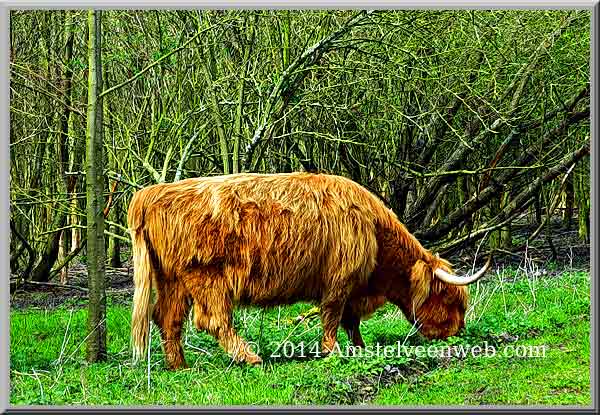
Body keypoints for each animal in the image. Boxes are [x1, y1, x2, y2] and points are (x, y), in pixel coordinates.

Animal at [129, 173, 490, 370]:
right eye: (449, 298)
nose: (458, 330)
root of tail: (152, 193)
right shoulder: (340, 280)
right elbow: (332, 316)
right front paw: (332, 352)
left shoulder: (351, 287)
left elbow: (350, 321)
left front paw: (359, 348)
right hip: (206, 276)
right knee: (213, 320)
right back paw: (249, 357)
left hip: (172, 279)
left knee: (168, 318)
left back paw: (179, 366)